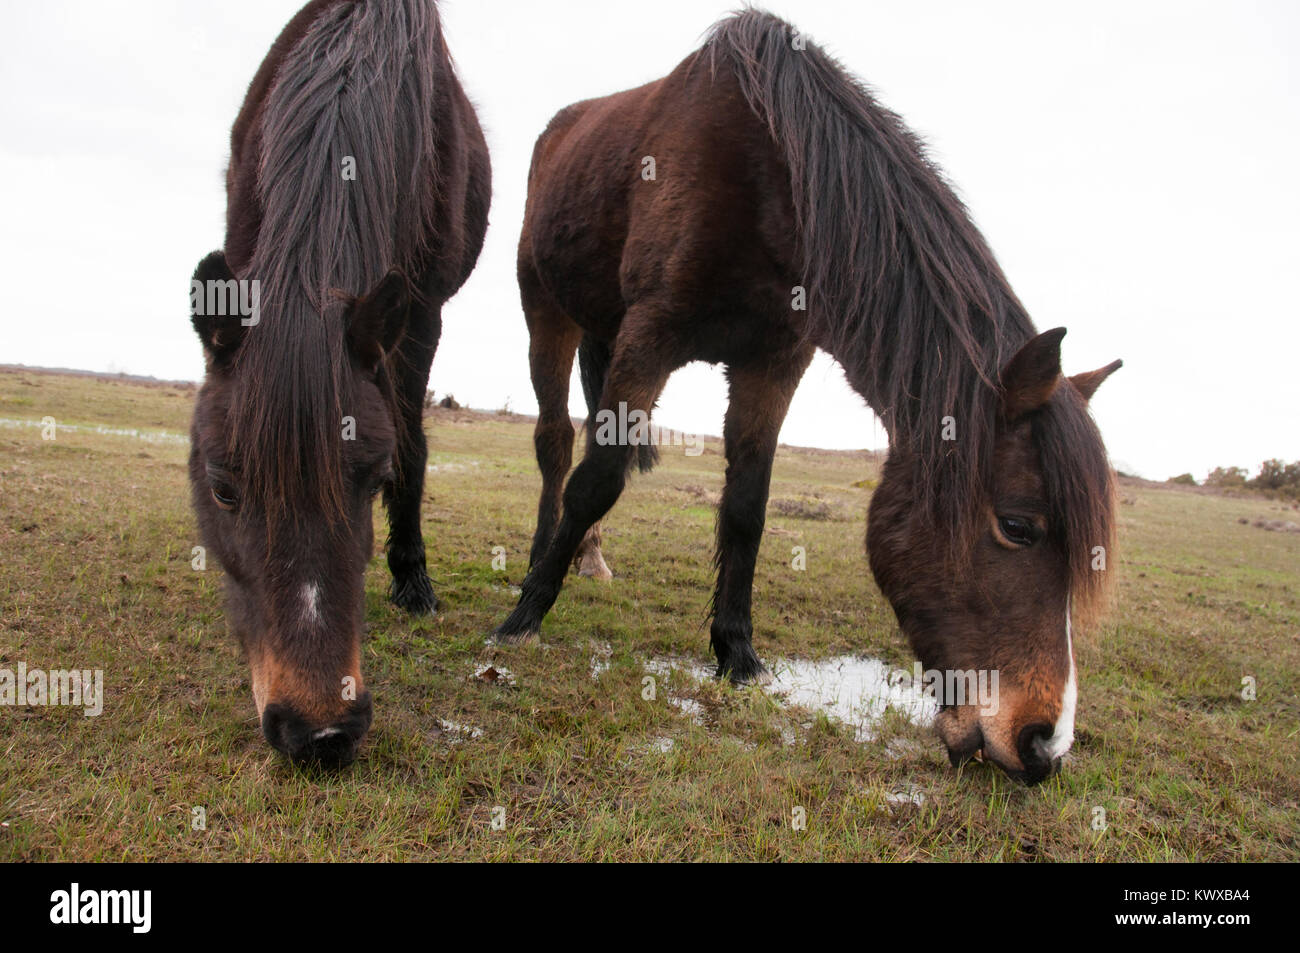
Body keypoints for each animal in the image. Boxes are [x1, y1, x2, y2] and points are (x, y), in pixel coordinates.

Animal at [184, 0, 488, 764]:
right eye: (223, 487)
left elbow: (413, 441)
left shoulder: (420, 313)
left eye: (373, 480)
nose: (320, 732)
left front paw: (412, 576)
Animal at [496, 9, 1118, 780]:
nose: (1045, 744)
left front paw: (736, 651)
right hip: (546, 308)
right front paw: (525, 616)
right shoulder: (651, 334)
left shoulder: (773, 363)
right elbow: (597, 481)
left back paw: (589, 557)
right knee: (557, 445)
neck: (766, 174)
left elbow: (746, 508)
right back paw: (538, 562)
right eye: (1020, 525)